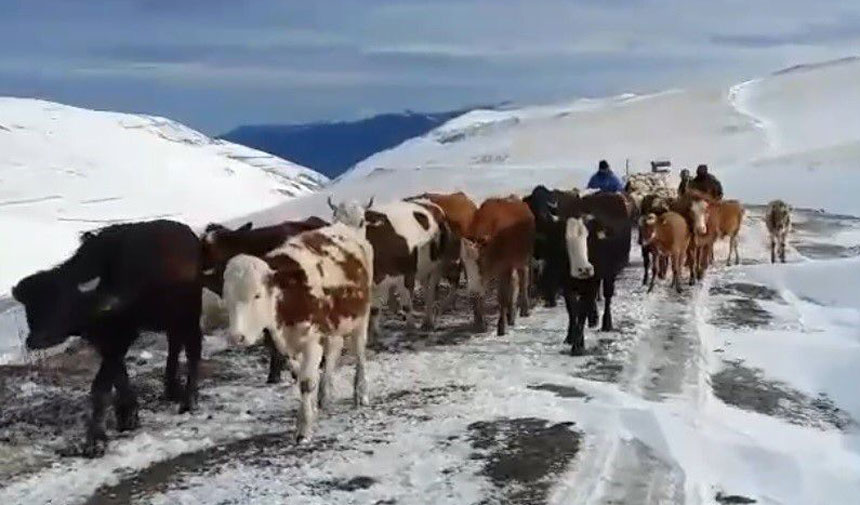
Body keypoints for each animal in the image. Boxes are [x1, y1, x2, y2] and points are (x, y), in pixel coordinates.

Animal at [11, 219, 203, 454]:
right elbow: (119, 376)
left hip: (189, 314)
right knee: (175, 345)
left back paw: (188, 400)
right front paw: (128, 415)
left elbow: (101, 386)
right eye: (29, 308)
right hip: (171, 319)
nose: (35, 340)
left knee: (193, 349)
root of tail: (189, 236)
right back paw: (171, 388)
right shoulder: (104, 342)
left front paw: (96, 440)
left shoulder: (120, 338)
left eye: (62, 302)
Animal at [460, 196, 536, 334]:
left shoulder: (504, 268)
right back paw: (511, 316)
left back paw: (524, 310)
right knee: (515, 283)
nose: (472, 290)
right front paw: (480, 324)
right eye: (464, 264)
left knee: (523, 281)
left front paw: (501, 326)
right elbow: (480, 298)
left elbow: (502, 297)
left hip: (524, 259)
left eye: (480, 260)